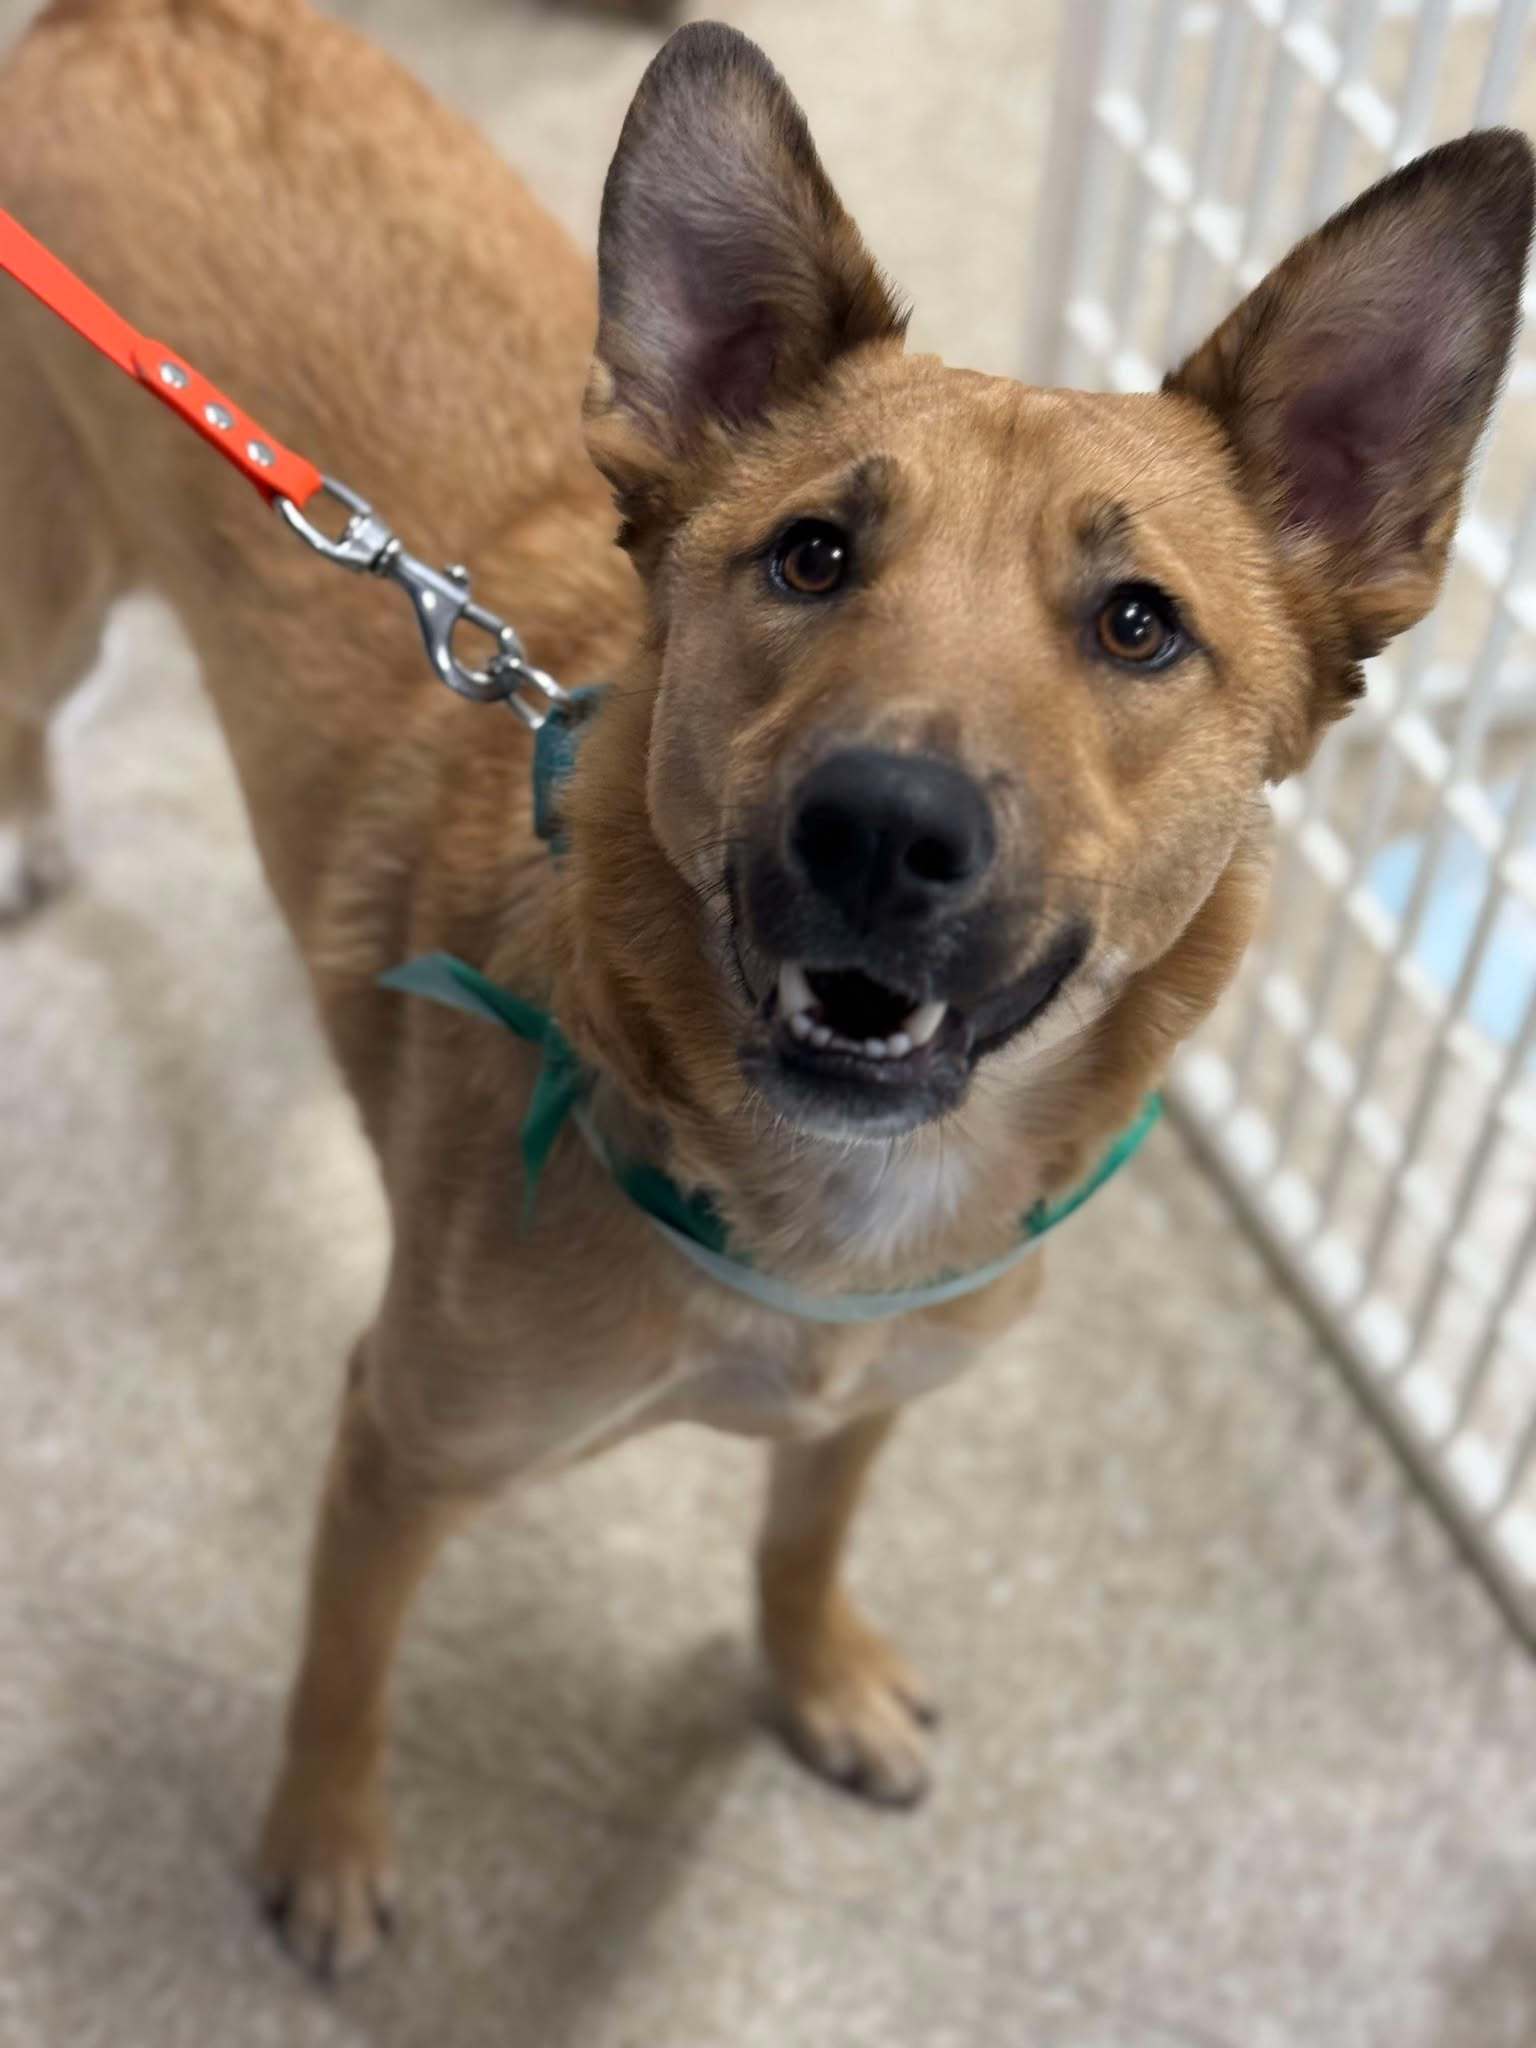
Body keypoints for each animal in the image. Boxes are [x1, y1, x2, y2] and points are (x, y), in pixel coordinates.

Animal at [0, 0, 1531, 1982]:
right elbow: (346, 1662)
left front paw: (813, 1677)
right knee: (27, 706)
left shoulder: (871, 1402)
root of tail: (138, 22)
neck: (824, 1219)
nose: (881, 828)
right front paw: (323, 1841)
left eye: (1138, 623)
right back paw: (32, 831)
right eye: (812, 554)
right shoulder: (398, 1442)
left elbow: (801, 1541)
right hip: (56, 591)